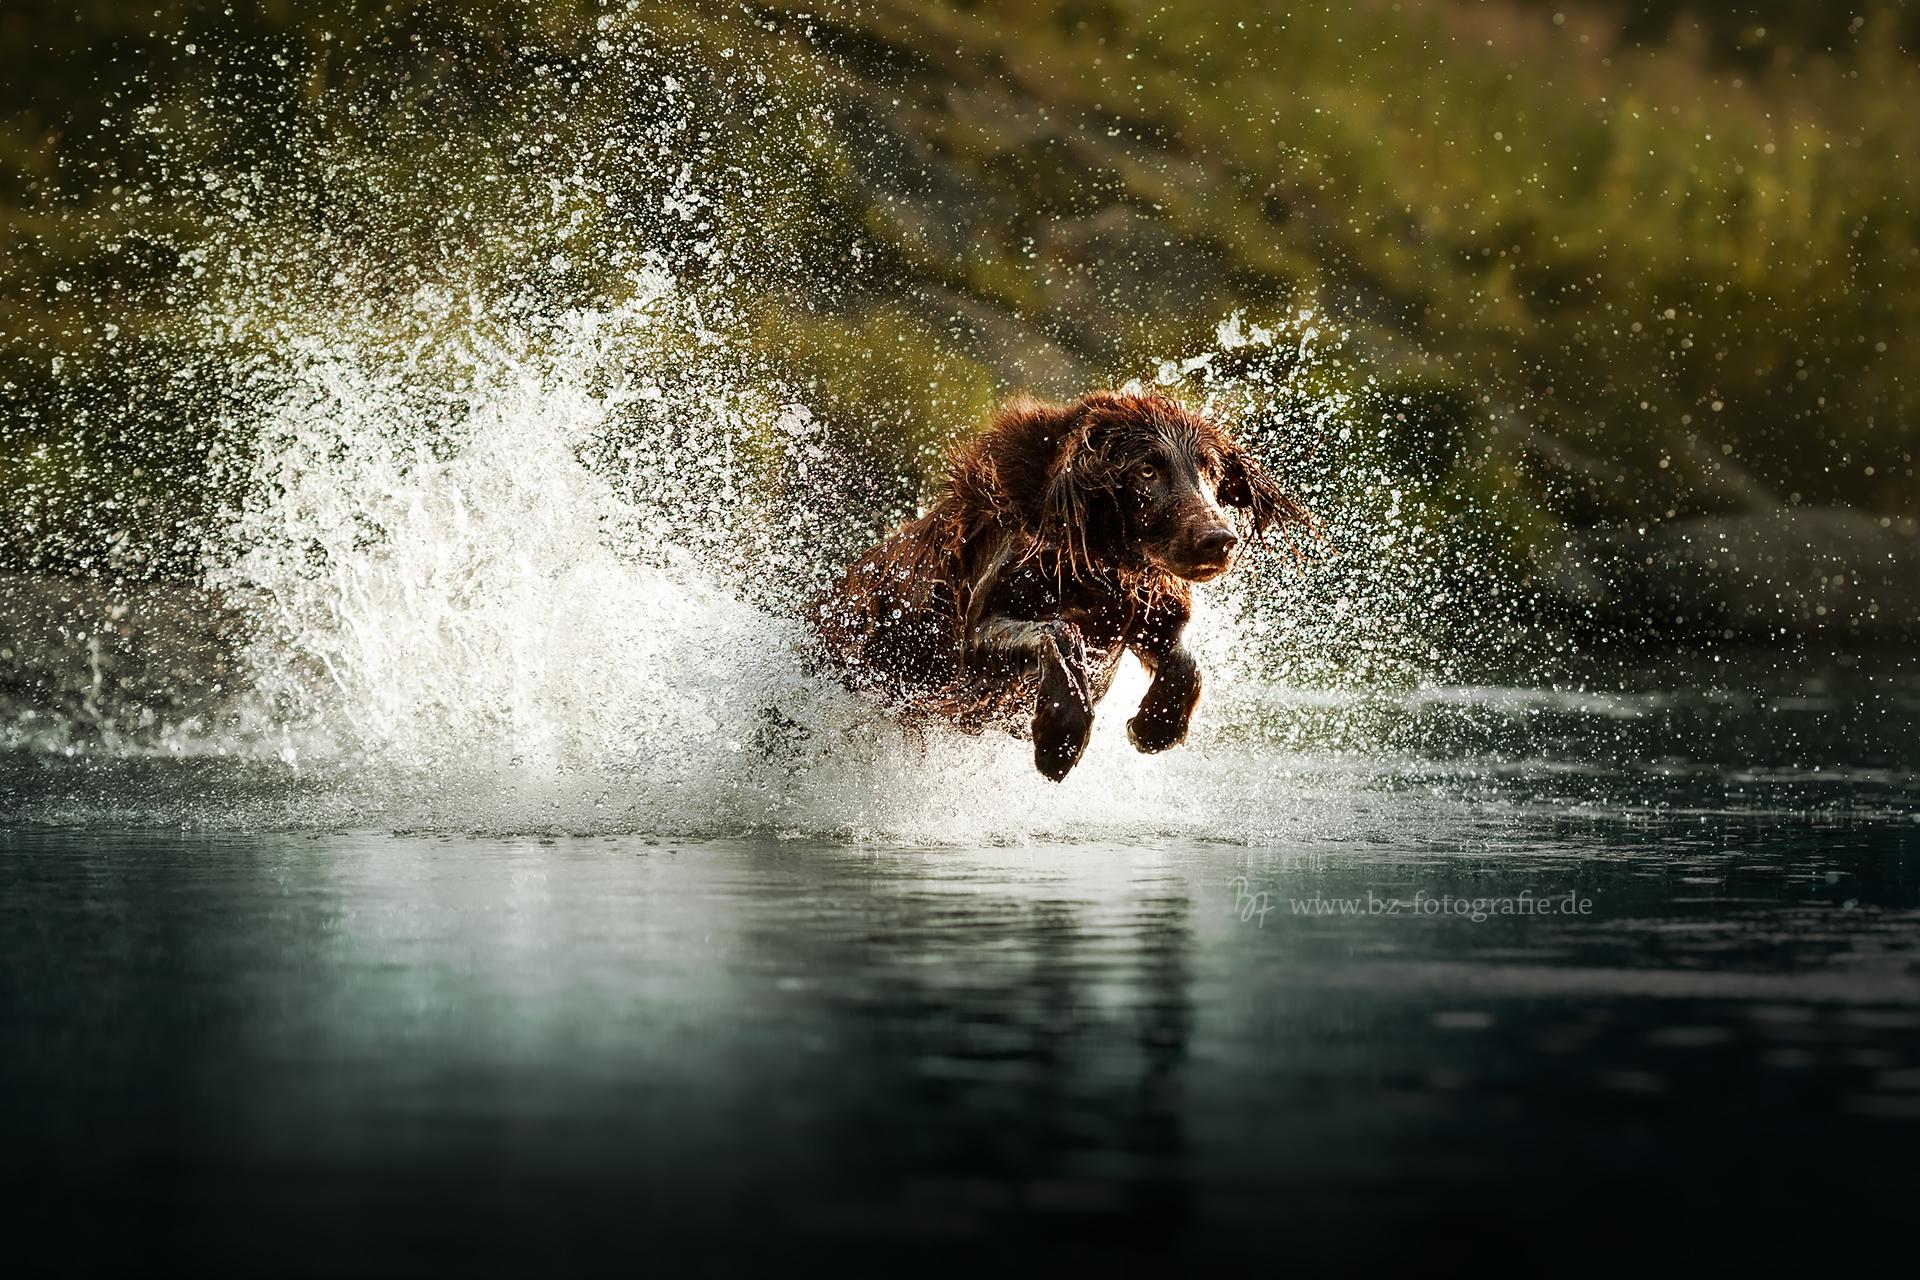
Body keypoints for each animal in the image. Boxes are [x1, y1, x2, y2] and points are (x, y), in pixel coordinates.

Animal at [802, 393, 1313, 782]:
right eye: (1147, 470)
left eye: (1209, 469)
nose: (1218, 540)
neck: (1100, 561)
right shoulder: (976, 634)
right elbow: (1057, 632)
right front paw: (1058, 742)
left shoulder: (1146, 615)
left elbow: (1185, 659)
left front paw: (1154, 726)